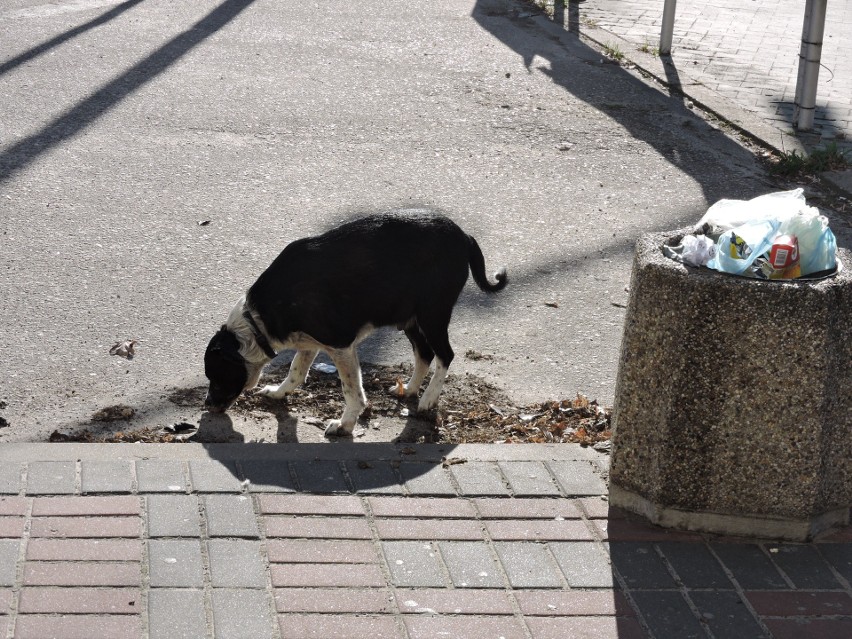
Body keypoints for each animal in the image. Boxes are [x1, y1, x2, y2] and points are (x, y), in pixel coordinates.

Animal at [204, 212, 506, 438]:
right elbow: (296, 371)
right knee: (425, 353)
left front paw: (345, 424)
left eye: (215, 376)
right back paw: (409, 389)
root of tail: (464, 236)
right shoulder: (309, 342)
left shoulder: (340, 345)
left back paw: (428, 398)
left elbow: (351, 391)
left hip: (432, 314)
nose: (207, 406)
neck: (258, 319)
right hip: (410, 318)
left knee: (445, 355)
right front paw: (280, 392)